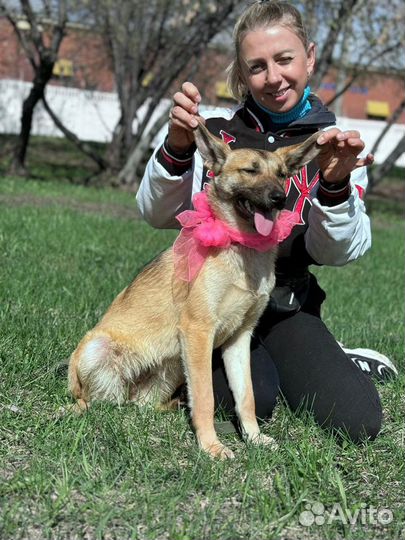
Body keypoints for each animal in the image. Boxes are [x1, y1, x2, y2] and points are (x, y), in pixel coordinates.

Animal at [68, 123, 320, 460]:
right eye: (250, 170)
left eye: (281, 175)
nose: (279, 198)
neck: (240, 246)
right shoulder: (199, 332)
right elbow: (205, 398)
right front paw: (211, 446)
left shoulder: (239, 339)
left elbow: (247, 397)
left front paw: (253, 437)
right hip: (100, 349)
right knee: (91, 400)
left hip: (173, 367)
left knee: (141, 404)